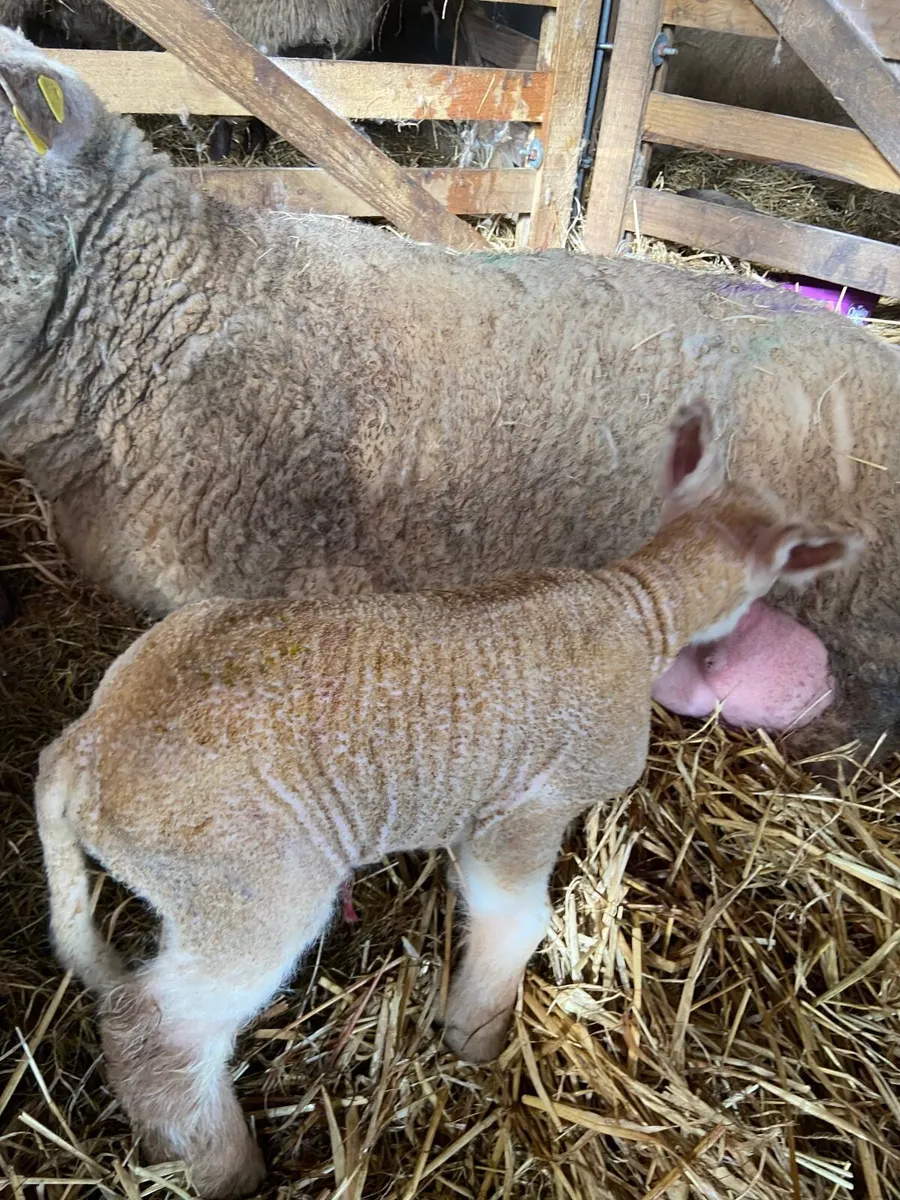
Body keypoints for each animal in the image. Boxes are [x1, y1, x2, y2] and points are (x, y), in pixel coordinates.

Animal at [35, 402, 861, 1199]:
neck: (639, 608)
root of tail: (84, 749)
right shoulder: (532, 807)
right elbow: (516, 920)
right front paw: (476, 1038)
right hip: (248, 888)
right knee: (157, 1028)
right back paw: (224, 1168)